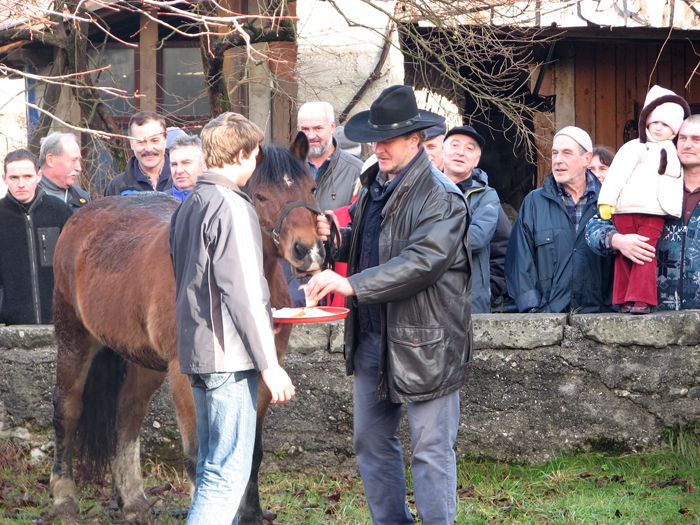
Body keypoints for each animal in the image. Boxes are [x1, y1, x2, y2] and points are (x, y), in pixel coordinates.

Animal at [50, 133, 322, 520]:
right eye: (260, 195)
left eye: (310, 187)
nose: (307, 251)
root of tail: (83, 216)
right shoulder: (185, 377)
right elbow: (198, 457)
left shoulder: (264, 374)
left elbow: (251, 455)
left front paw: (252, 514)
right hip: (74, 337)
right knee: (68, 409)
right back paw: (64, 499)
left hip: (144, 361)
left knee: (128, 411)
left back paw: (133, 498)